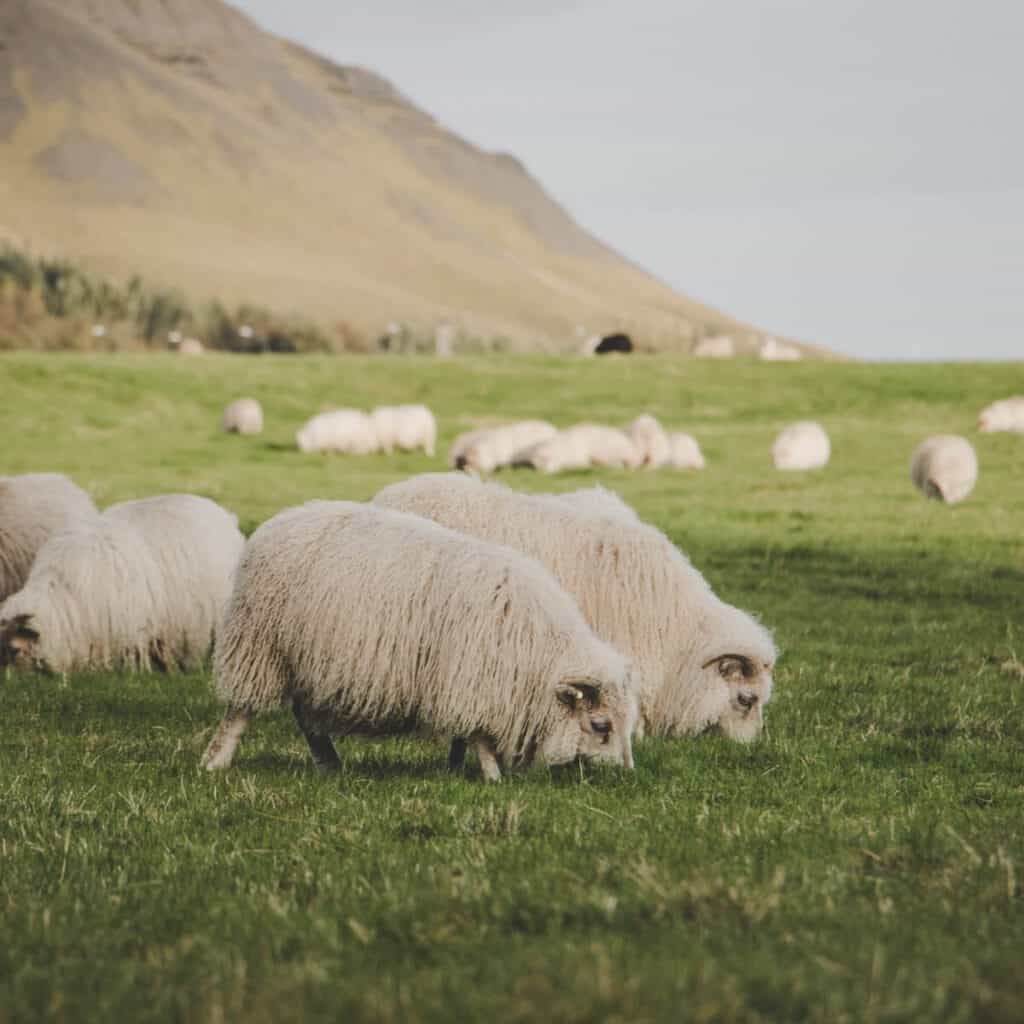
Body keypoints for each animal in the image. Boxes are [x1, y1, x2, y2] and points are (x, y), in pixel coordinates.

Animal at [200, 499, 634, 778]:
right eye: (600, 725)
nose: (622, 776)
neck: (538, 648)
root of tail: (278, 522)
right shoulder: (471, 680)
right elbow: (480, 736)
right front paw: (492, 776)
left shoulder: (465, 684)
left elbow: (463, 734)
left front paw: (456, 769)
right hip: (259, 646)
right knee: (241, 711)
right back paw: (215, 761)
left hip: (310, 662)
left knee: (307, 719)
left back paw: (330, 764)